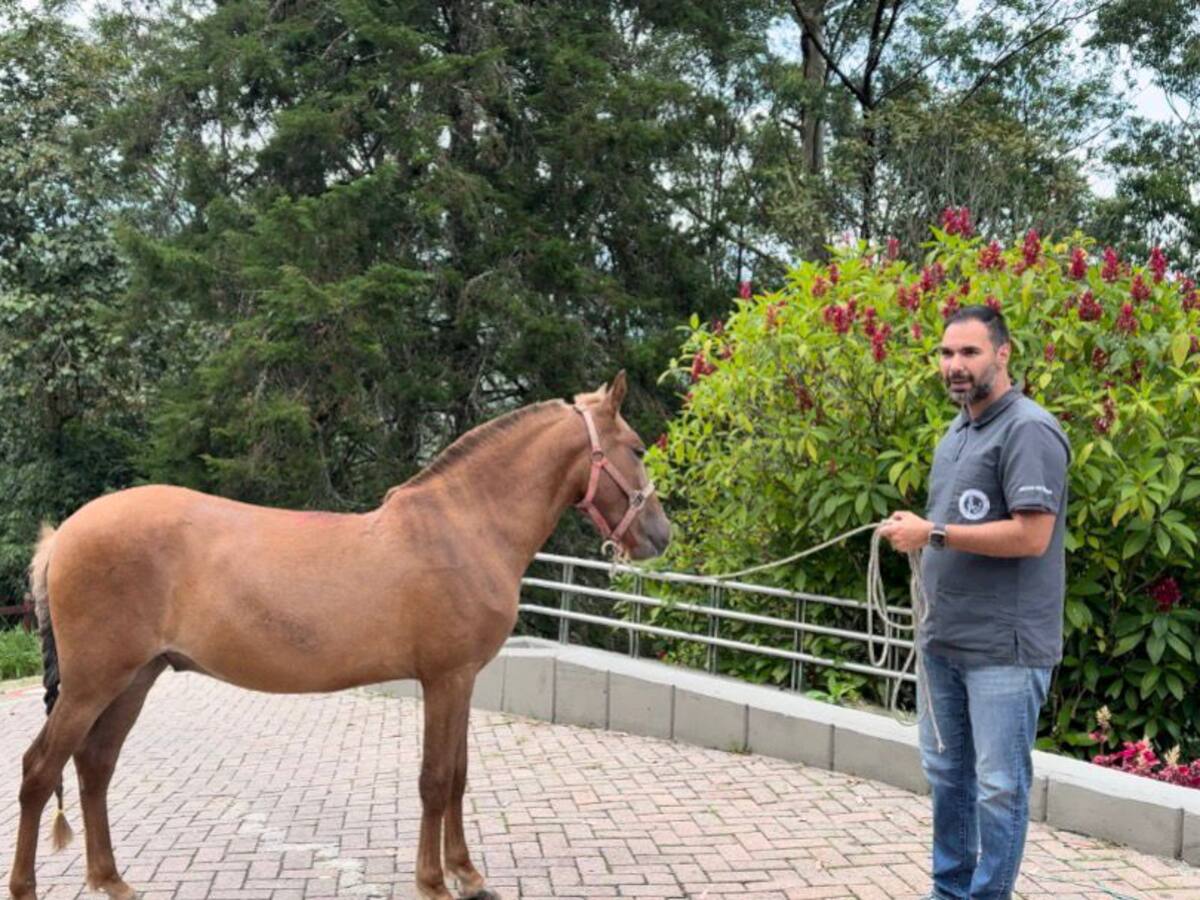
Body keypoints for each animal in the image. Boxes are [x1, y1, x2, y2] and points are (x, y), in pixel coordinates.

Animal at [7, 371, 670, 900]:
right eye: (638, 448)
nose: (661, 535)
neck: (464, 526)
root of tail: (64, 534)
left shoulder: (461, 682)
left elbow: (458, 777)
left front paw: (469, 875)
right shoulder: (445, 679)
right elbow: (434, 780)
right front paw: (433, 882)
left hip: (135, 679)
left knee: (94, 766)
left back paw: (111, 879)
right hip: (93, 684)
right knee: (40, 770)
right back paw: (27, 887)